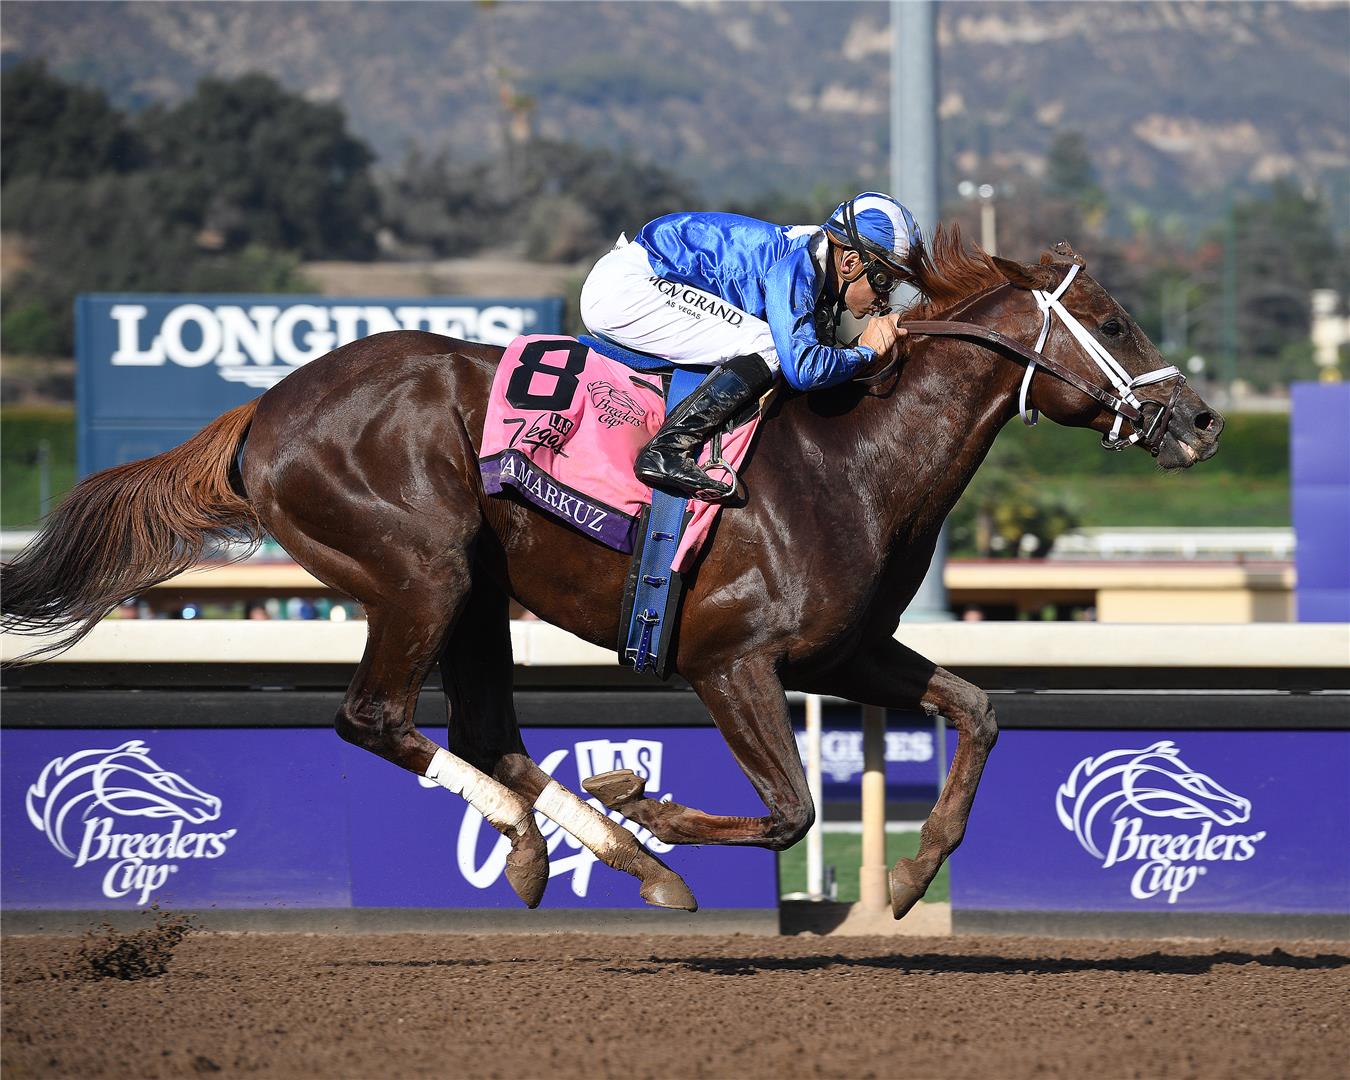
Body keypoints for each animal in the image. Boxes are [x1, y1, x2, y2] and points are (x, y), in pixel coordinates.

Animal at [1, 229, 1224, 917]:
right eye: (1113, 319)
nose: (1206, 422)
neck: (855, 458)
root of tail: (265, 407)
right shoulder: (732, 660)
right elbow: (787, 812)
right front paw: (654, 800)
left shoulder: (845, 652)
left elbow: (977, 711)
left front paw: (916, 877)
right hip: (418, 570)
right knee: (375, 718)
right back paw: (579, 842)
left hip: (475, 591)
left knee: (484, 731)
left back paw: (591, 857)